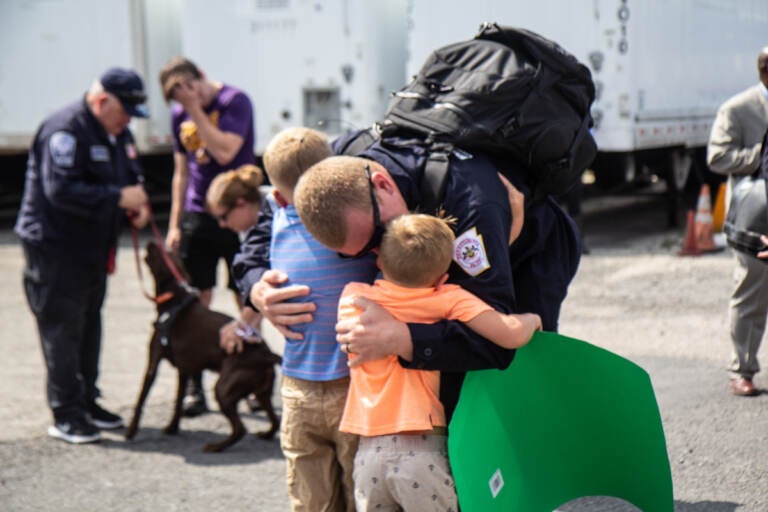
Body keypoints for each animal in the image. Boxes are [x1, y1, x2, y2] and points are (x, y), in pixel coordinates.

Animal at [126, 241, 282, 452]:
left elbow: (141, 399)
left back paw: (215, 447)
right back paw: (265, 434)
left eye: (162, 252)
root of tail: (267, 354)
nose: (151, 242)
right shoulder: (184, 370)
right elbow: (177, 400)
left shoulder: (153, 364)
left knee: (240, 429)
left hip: (224, 389)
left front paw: (131, 431)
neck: (175, 300)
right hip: (261, 392)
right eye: (167, 250)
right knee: (275, 420)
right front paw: (172, 427)